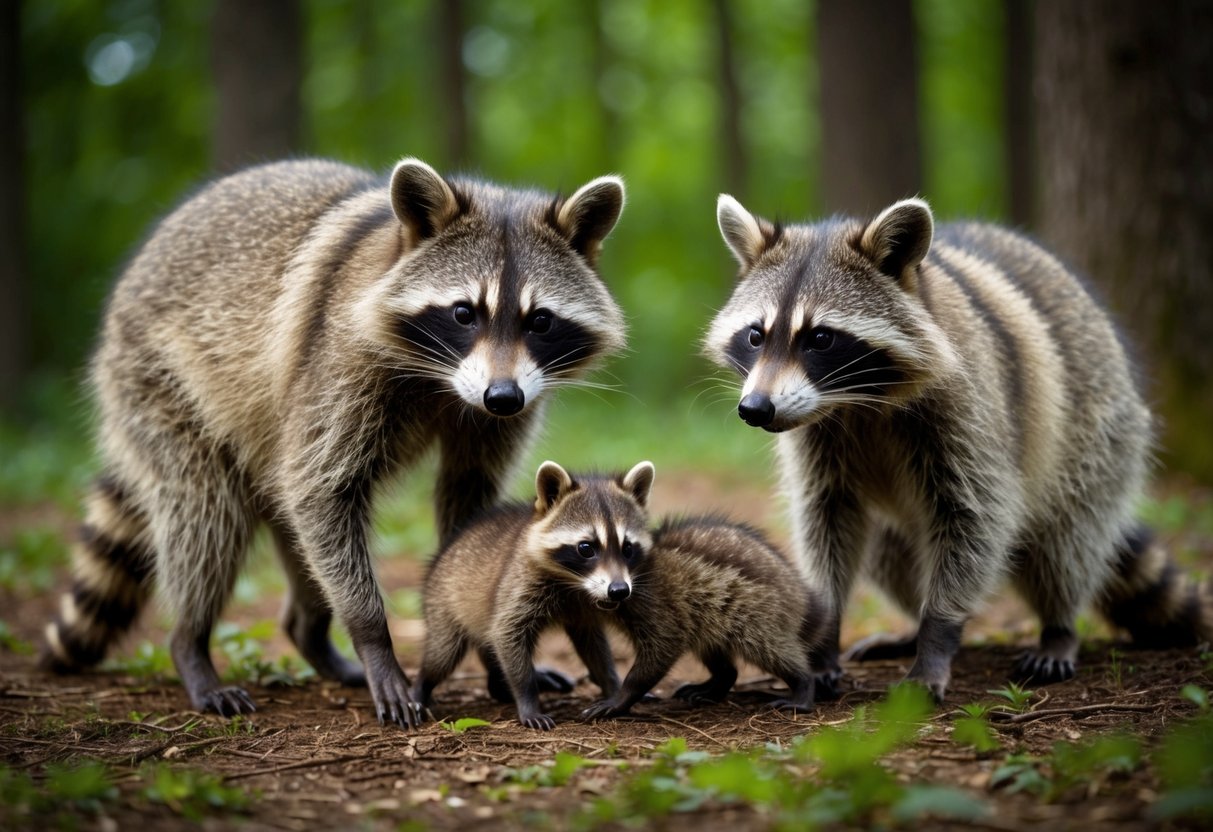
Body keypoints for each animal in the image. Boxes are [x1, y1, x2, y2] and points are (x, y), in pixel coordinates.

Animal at [41, 158, 627, 726]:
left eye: (540, 321)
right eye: (464, 312)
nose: (501, 397)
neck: (444, 380)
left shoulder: (506, 406)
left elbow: (468, 505)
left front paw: (490, 651)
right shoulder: (338, 356)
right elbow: (321, 488)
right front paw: (375, 641)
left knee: (286, 515)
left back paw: (309, 633)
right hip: (158, 379)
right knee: (207, 516)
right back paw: (192, 642)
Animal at [412, 460, 654, 730]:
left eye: (628, 548)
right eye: (586, 548)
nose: (619, 590)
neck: (574, 583)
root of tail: (444, 551)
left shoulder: (584, 607)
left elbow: (594, 647)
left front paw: (612, 686)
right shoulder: (520, 584)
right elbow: (507, 632)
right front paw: (528, 700)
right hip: (442, 603)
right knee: (442, 655)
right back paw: (421, 685)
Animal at [582, 514, 820, 719]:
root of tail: (799, 591)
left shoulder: (656, 603)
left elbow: (664, 645)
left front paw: (623, 696)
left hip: (758, 611)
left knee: (767, 648)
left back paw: (802, 682)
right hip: (711, 618)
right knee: (712, 648)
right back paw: (721, 679)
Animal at [704, 194, 1213, 701]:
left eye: (821, 338)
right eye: (755, 335)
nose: (755, 408)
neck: (858, 401)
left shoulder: (972, 408)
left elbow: (975, 516)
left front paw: (938, 632)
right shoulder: (819, 441)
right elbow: (825, 519)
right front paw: (826, 633)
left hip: (1098, 431)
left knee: (1067, 541)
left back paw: (1059, 625)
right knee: (885, 552)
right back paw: (912, 624)